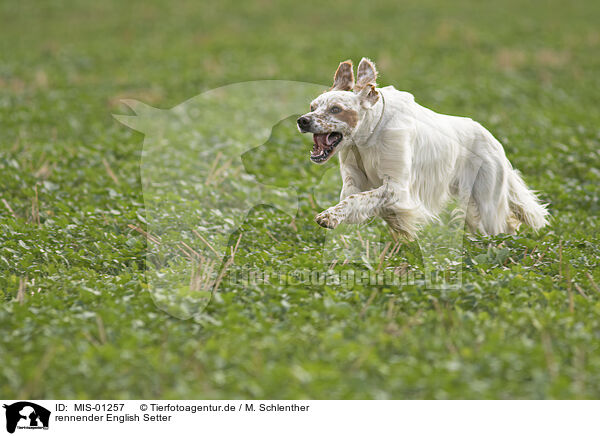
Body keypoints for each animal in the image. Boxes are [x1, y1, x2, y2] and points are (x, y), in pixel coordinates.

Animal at [296, 57, 548, 238]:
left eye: (336, 109)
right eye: (313, 106)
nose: (302, 120)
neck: (368, 138)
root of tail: (495, 142)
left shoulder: (397, 188)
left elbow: (357, 199)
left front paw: (328, 217)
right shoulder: (354, 180)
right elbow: (350, 199)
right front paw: (333, 215)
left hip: (487, 204)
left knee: (503, 229)